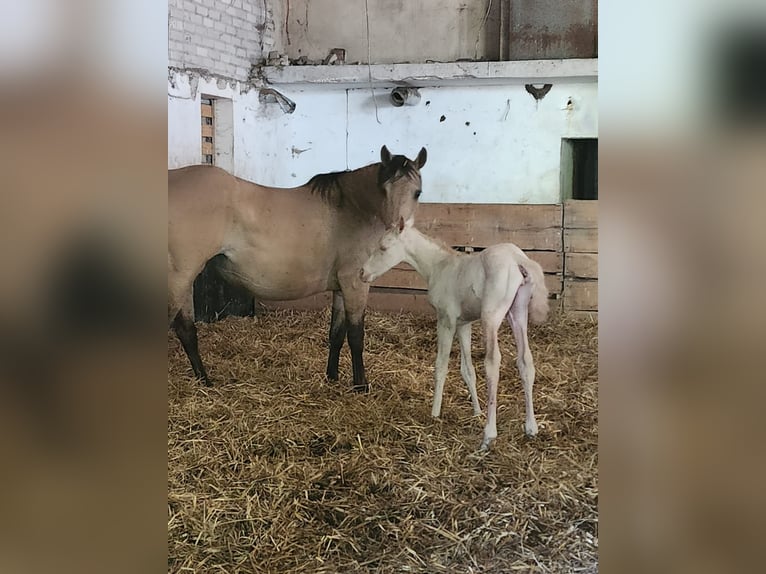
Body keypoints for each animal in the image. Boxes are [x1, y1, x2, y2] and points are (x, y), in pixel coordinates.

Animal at [169, 145, 427, 391]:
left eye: (417, 192)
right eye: (385, 188)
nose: (395, 231)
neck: (350, 207)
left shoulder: (341, 287)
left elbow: (336, 334)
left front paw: (332, 377)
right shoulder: (356, 283)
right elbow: (356, 336)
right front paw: (361, 386)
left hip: (184, 280)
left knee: (186, 330)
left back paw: (205, 381)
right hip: (179, 279)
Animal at [360, 218, 549, 449]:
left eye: (383, 247)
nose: (362, 273)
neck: (438, 267)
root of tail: (518, 259)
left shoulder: (446, 320)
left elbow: (441, 366)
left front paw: (434, 413)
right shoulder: (464, 324)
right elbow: (468, 370)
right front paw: (476, 411)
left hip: (491, 316)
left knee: (492, 363)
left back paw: (489, 435)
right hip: (518, 312)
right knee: (525, 361)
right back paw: (531, 428)